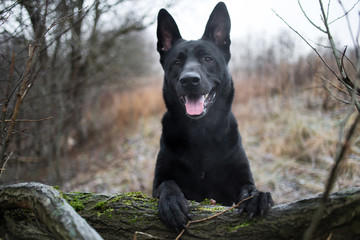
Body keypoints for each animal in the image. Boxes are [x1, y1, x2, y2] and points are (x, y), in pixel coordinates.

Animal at [152, 1, 272, 231]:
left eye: (207, 59)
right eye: (177, 63)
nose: (190, 80)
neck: (201, 133)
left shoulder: (239, 178)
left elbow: (248, 187)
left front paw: (255, 196)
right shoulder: (158, 182)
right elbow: (167, 184)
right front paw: (172, 202)